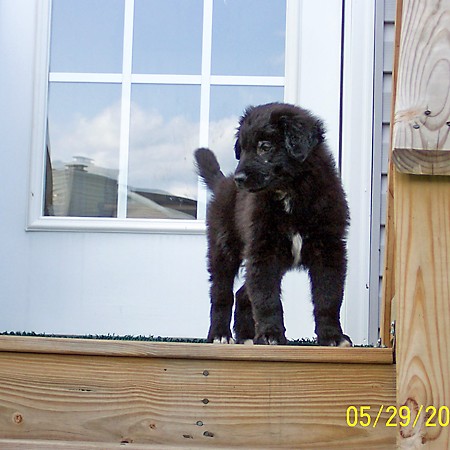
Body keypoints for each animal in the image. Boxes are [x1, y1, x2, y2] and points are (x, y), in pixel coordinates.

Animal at [195, 103, 354, 348]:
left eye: (265, 147)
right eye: (242, 149)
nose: (239, 179)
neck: (290, 193)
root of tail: (223, 183)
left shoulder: (328, 249)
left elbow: (328, 297)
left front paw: (332, 337)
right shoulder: (264, 250)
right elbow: (266, 298)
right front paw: (270, 335)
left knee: (242, 293)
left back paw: (246, 336)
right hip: (223, 249)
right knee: (221, 294)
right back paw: (220, 335)